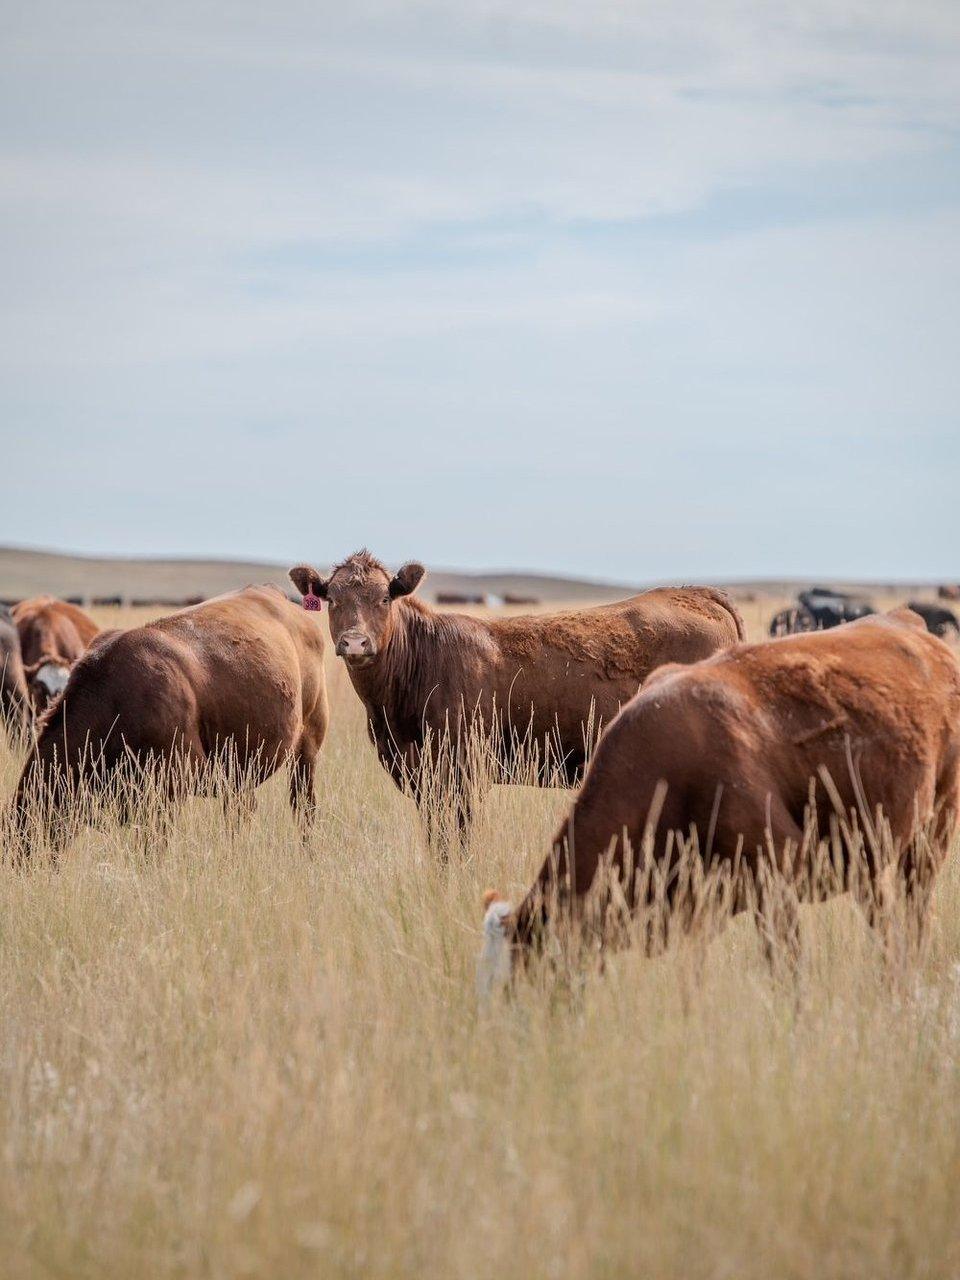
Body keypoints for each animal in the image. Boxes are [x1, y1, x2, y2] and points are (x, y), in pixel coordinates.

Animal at [289, 550, 744, 838]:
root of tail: (696, 593)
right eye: (332, 600)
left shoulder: (461, 770)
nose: (355, 642)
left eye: (384, 598)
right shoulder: (420, 776)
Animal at [478, 610, 960, 994]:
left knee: (914, 913)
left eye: (523, 974)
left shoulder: (777, 873)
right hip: (870, 852)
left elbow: (786, 969)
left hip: (935, 826)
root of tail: (910, 625)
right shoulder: (699, 900)